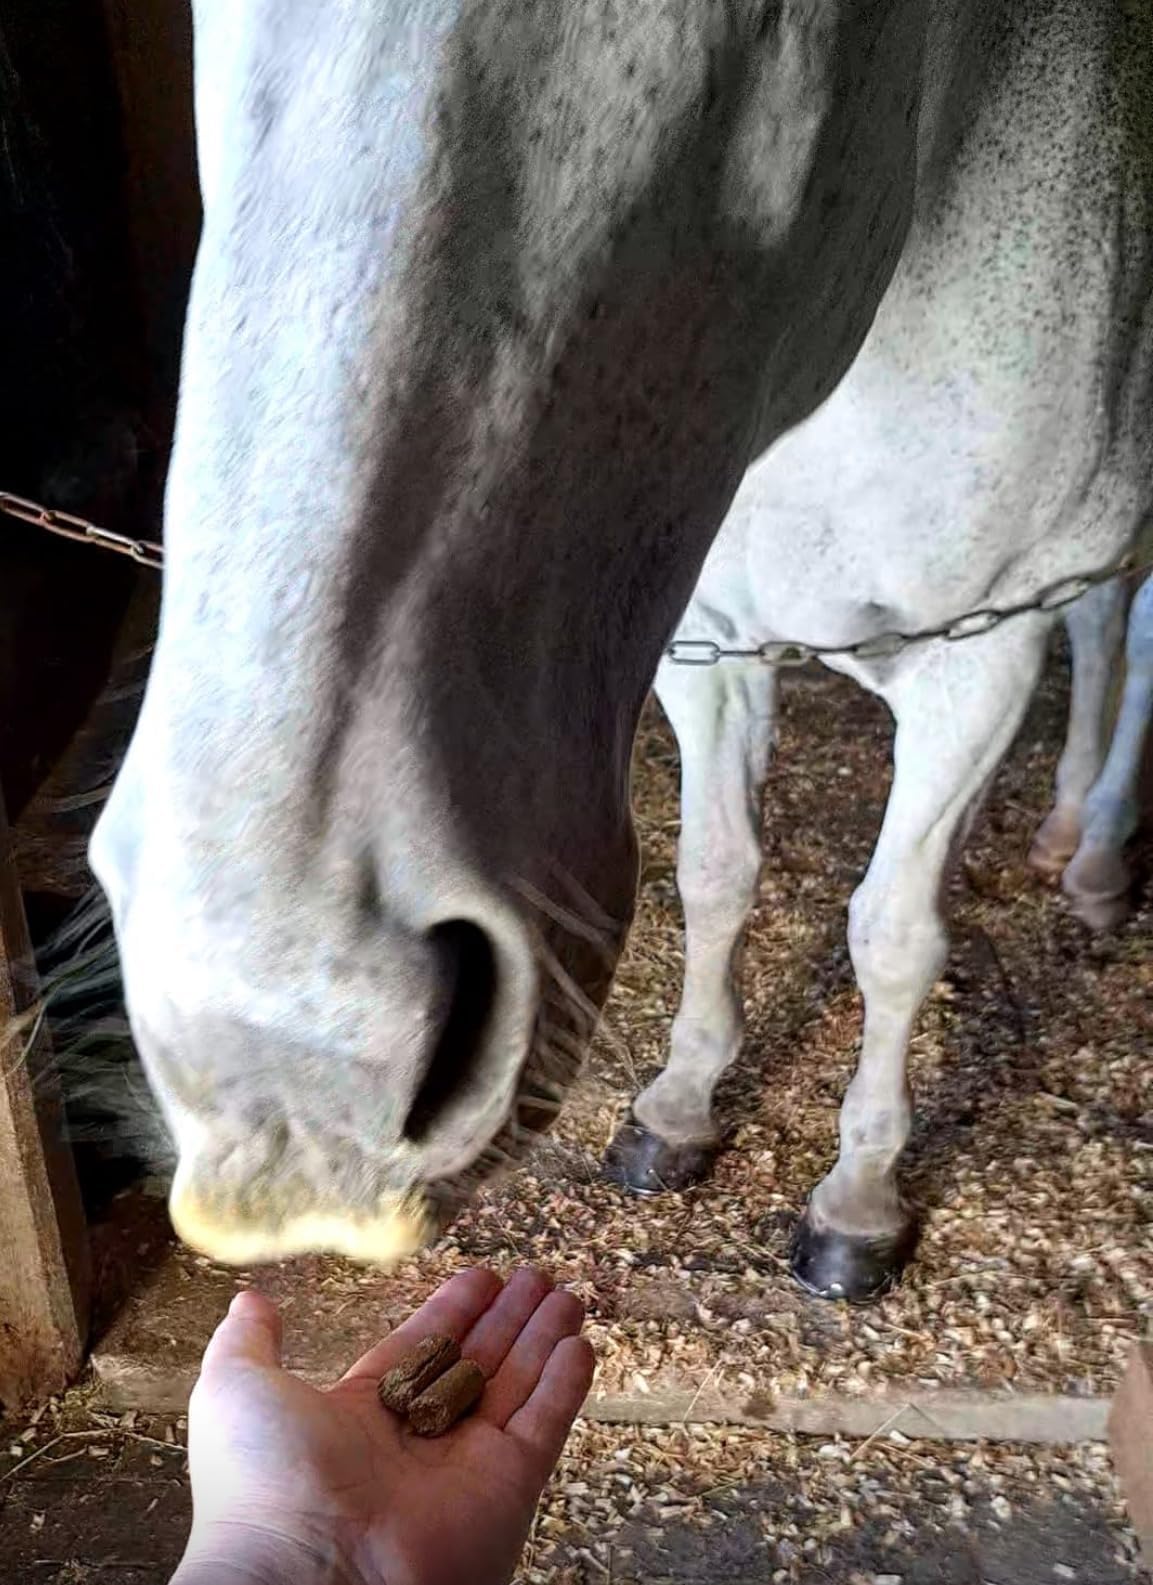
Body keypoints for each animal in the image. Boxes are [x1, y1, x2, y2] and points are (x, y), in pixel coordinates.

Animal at [89, 0, 1152, 1296]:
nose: (287, 1055)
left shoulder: (979, 661)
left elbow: (892, 937)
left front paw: (857, 1199)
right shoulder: (712, 646)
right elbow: (716, 871)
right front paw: (680, 1104)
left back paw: (1095, 859)